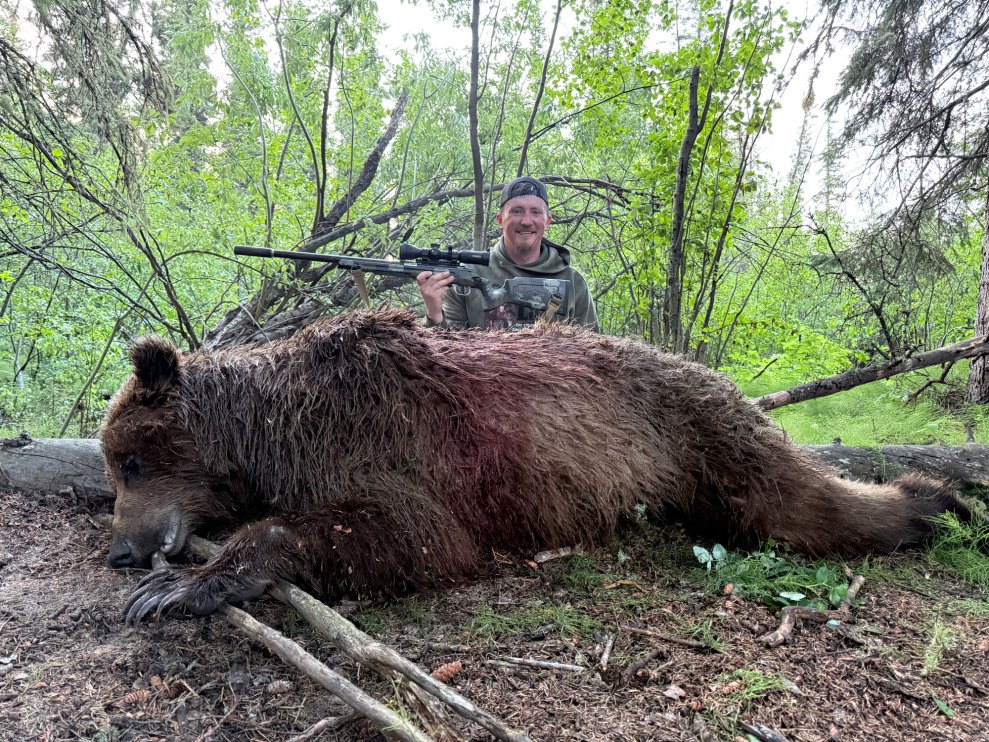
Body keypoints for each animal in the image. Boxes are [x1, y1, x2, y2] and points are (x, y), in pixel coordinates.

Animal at [100, 309, 974, 622]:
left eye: (131, 462)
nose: (122, 550)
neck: (276, 428)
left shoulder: (387, 443)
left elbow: (410, 536)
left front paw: (180, 586)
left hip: (697, 431)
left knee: (793, 501)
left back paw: (927, 500)